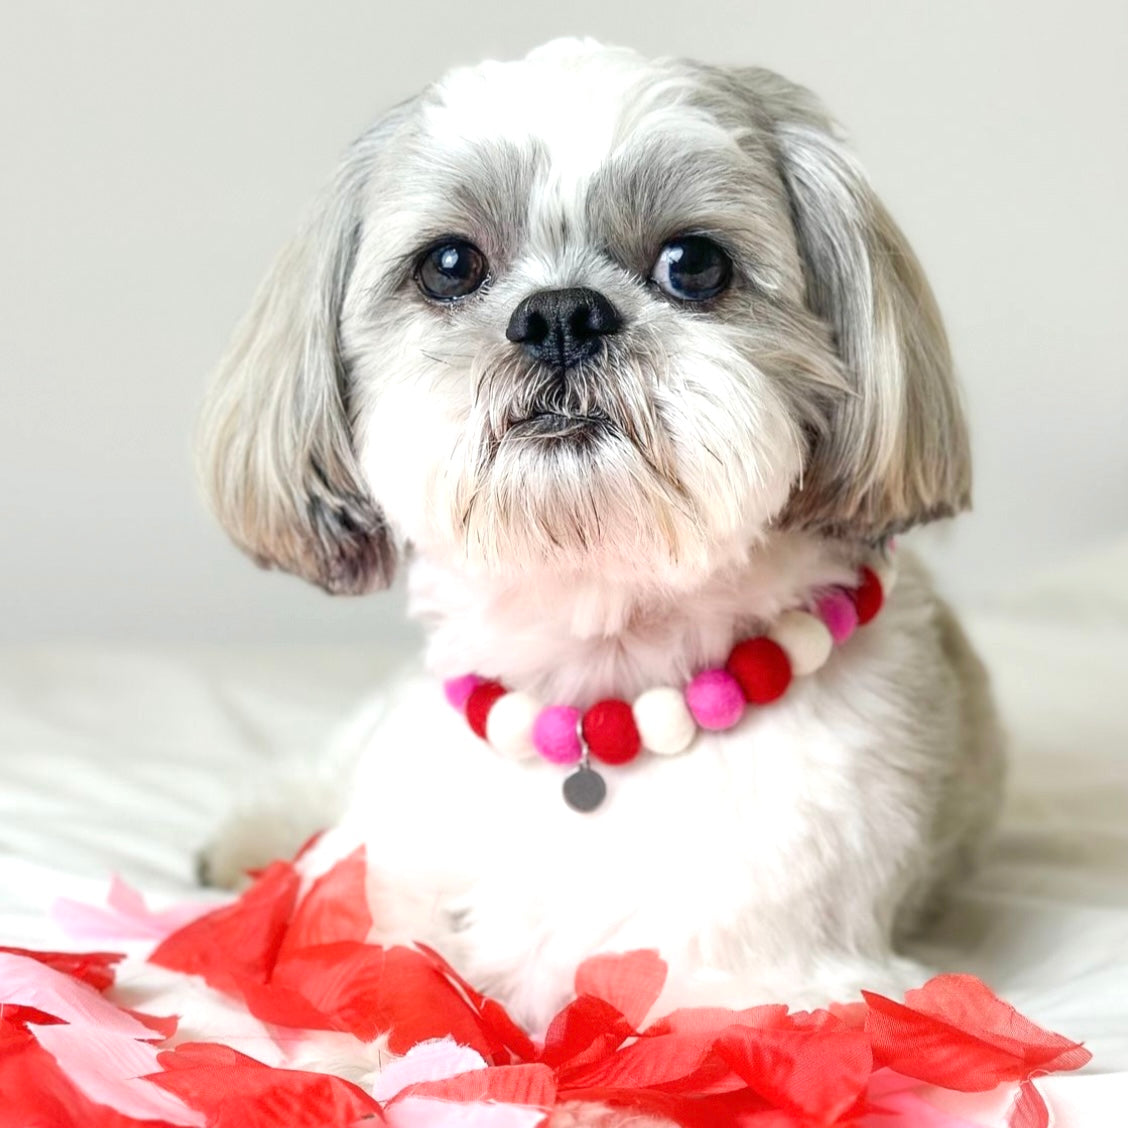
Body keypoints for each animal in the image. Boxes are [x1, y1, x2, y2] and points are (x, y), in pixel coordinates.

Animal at [196, 39, 1006, 1033]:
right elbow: (358, 977)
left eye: (694, 263)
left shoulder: (773, 977)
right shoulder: (387, 882)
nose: (560, 313)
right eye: (449, 264)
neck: (594, 698)